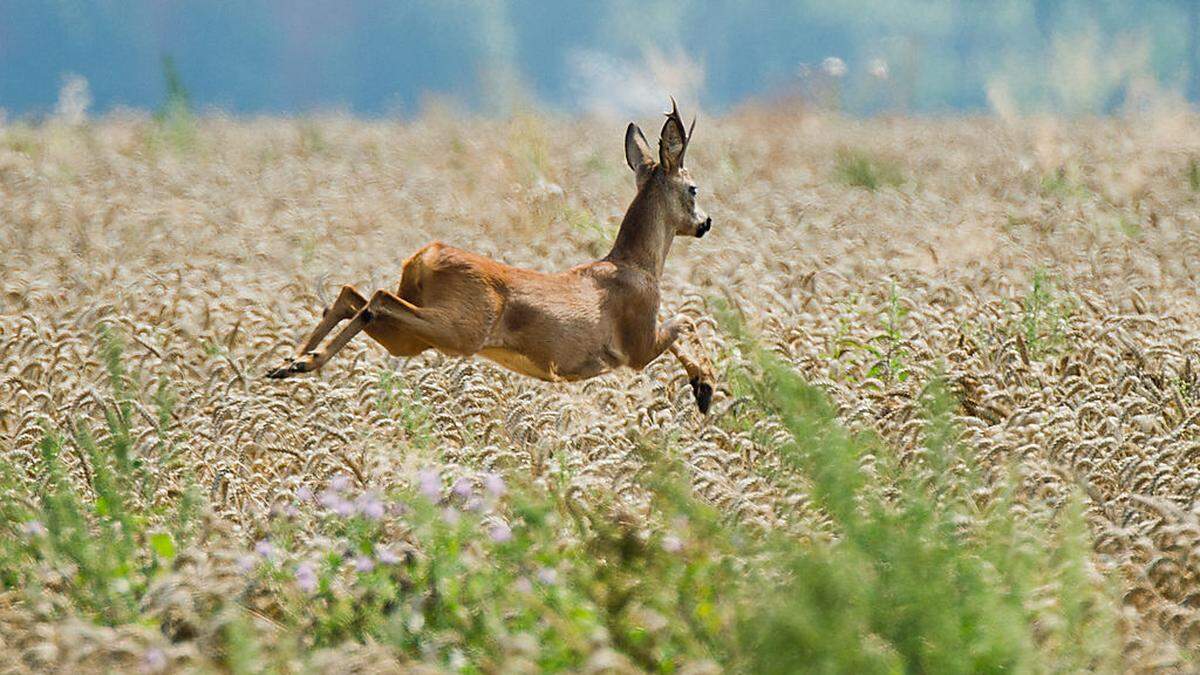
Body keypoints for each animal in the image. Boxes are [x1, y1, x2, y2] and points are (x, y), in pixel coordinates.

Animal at [267, 100, 715, 413]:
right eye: (693, 188)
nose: (706, 222)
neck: (636, 264)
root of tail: (425, 257)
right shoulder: (636, 345)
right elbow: (687, 320)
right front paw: (706, 386)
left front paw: (703, 388)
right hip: (460, 328)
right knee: (376, 298)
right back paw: (302, 361)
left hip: (414, 338)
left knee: (353, 295)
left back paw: (291, 362)